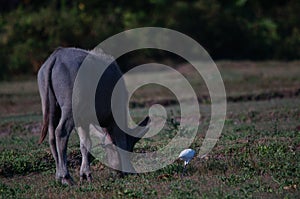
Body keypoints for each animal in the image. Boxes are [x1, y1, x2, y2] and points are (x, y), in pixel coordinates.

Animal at [38, 46, 149, 185]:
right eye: (130, 148)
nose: (117, 172)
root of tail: (56, 56)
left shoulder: (83, 122)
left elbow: (85, 144)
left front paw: (85, 174)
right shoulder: (115, 115)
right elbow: (120, 141)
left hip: (51, 109)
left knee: (52, 137)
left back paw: (58, 176)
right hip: (69, 110)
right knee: (61, 133)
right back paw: (66, 176)